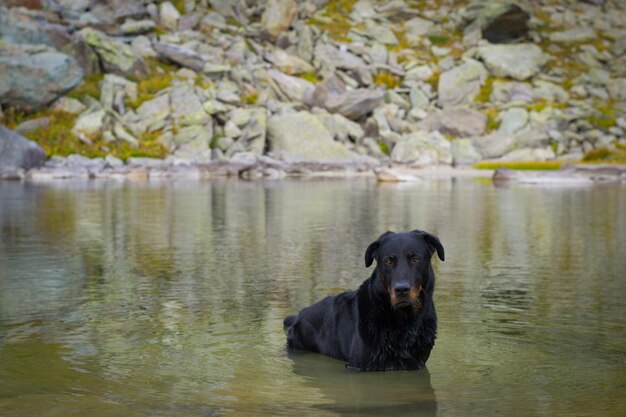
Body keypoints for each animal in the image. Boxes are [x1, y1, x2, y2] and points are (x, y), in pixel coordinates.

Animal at [282, 231, 444, 370]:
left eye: (416, 259)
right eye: (388, 261)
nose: (401, 289)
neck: (403, 319)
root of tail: (300, 314)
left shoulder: (417, 365)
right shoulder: (358, 365)